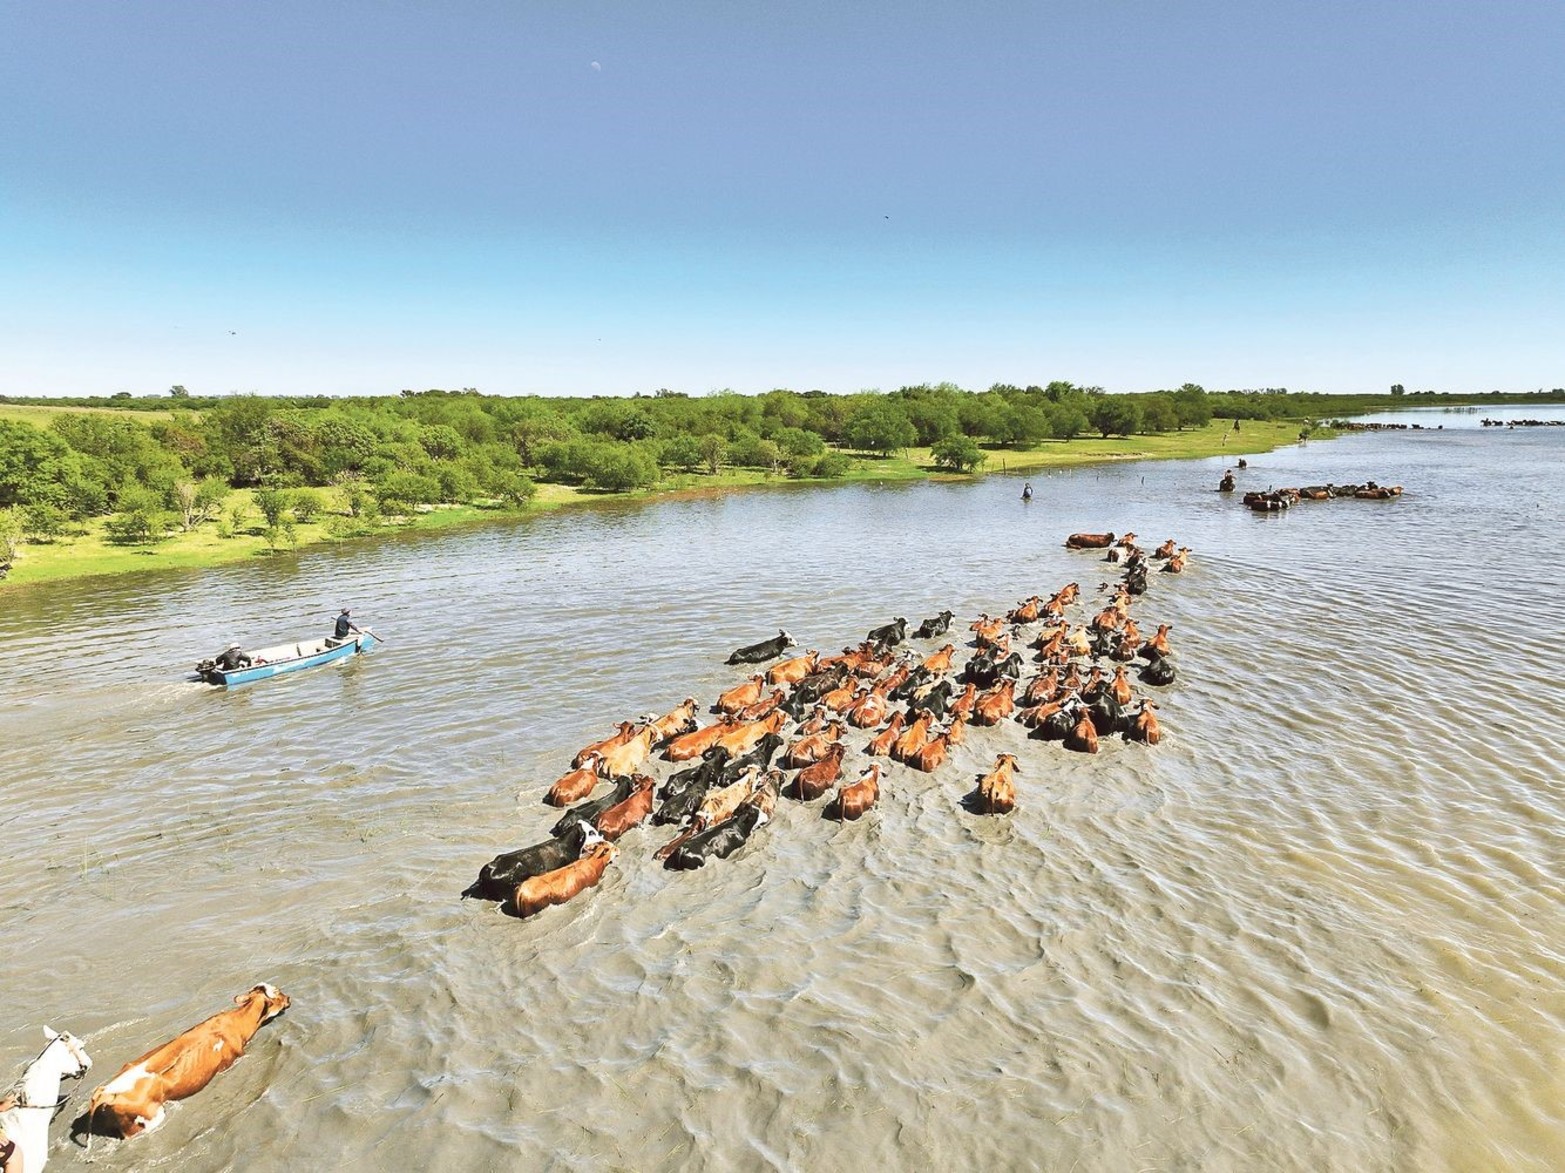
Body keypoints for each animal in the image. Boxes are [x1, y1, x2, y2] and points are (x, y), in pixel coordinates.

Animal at [86, 982, 291, 1138]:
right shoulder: (231, 1061)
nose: (289, 998)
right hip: (146, 1122)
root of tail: (107, 1091)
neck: (237, 1022)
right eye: (278, 992)